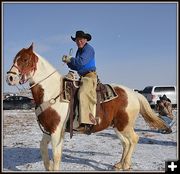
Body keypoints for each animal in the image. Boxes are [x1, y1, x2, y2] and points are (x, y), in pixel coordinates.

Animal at [5, 43, 169, 171]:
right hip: (118, 126)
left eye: (25, 59)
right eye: (15, 59)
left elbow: (56, 155)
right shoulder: (48, 130)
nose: (10, 78)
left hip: (125, 125)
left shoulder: (56, 131)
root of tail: (134, 94)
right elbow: (43, 149)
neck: (52, 92)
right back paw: (120, 164)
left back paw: (126, 164)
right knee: (126, 142)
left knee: (134, 139)